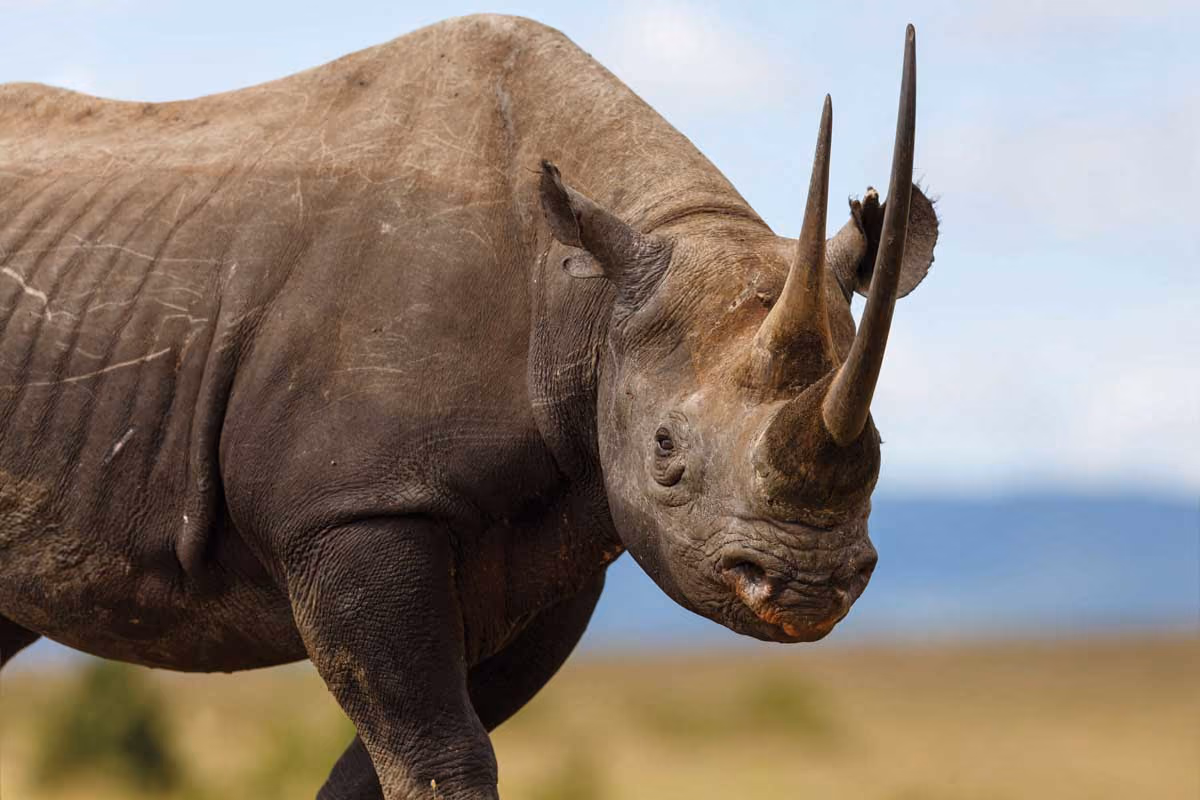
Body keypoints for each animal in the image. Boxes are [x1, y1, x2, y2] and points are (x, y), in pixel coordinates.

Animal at [0, 14, 938, 799]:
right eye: (665, 452)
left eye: (881, 450)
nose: (809, 586)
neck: (589, 298)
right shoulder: (353, 507)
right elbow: (437, 750)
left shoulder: (559, 547)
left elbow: (402, 755)